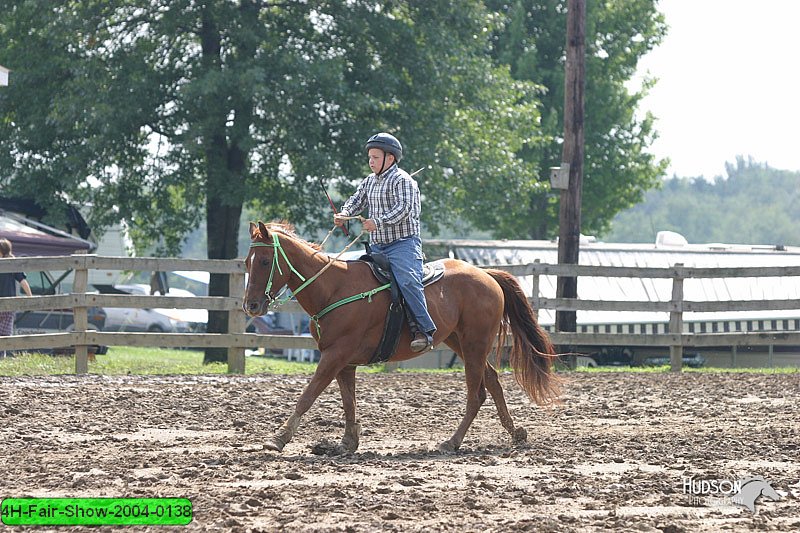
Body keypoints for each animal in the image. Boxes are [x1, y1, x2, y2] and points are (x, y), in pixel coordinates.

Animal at [241, 220, 560, 454]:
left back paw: (451, 442)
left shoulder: (334, 355)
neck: (333, 288)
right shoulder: (344, 362)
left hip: (475, 343)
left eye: (265, 261)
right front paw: (347, 442)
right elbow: (348, 402)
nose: (251, 306)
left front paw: (278, 438)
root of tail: (486, 275)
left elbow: (307, 396)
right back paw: (516, 433)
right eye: (246, 261)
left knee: (477, 393)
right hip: (459, 341)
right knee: (492, 381)